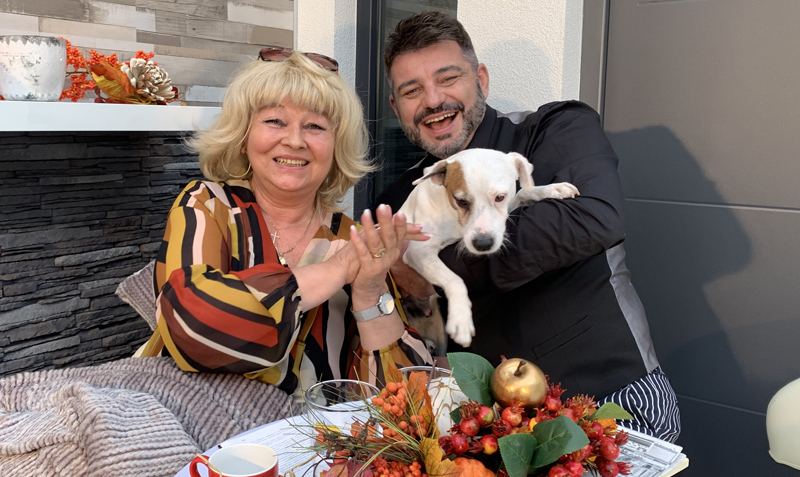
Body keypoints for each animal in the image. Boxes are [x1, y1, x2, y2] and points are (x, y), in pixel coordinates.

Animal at [398, 148, 579, 348]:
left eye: (500, 197)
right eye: (461, 201)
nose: (483, 243)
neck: (453, 216)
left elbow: (523, 192)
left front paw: (552, 189)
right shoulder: (418, 251)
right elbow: (455, 280)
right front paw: (461, 320)